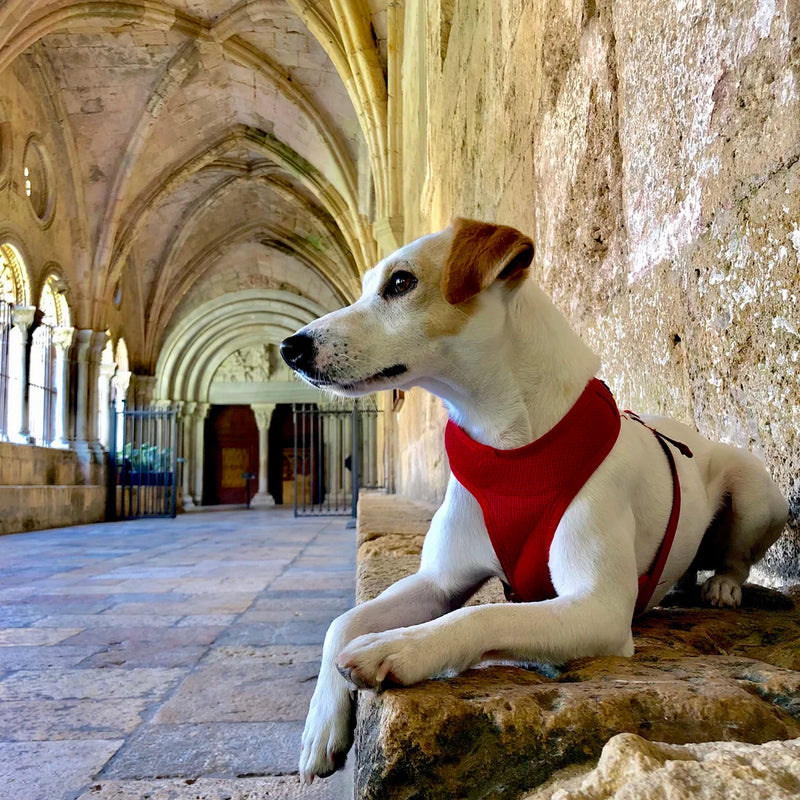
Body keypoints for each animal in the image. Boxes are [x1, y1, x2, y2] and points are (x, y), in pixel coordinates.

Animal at [280, 218, 788, 783]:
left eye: (401, 283)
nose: (290, 348)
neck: (510, 450)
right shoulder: (438, 581)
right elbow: (342, 622)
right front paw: (320, 728)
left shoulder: (598, 609)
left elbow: (481, 617)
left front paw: (397, 647)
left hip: (758, 492)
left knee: (737, 555)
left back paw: (722, 586)